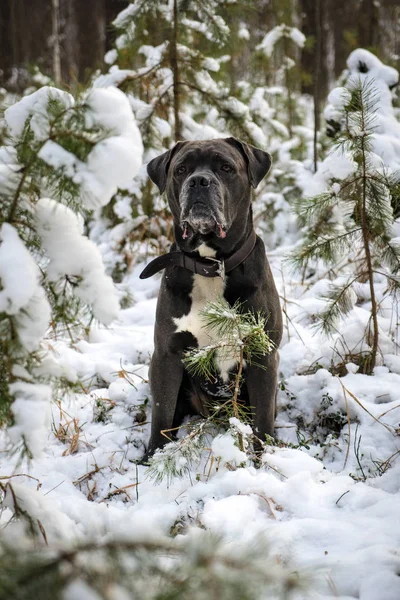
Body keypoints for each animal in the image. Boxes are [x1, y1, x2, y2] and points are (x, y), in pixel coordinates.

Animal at [139, 137, 282, 454]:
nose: (199, 181)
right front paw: (154, 456)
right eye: (181, 169)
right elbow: (161, 414)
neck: (210, 264)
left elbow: (263, 422)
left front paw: (263, 459)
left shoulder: (263, 355)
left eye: (226, 167)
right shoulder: (166, 355)